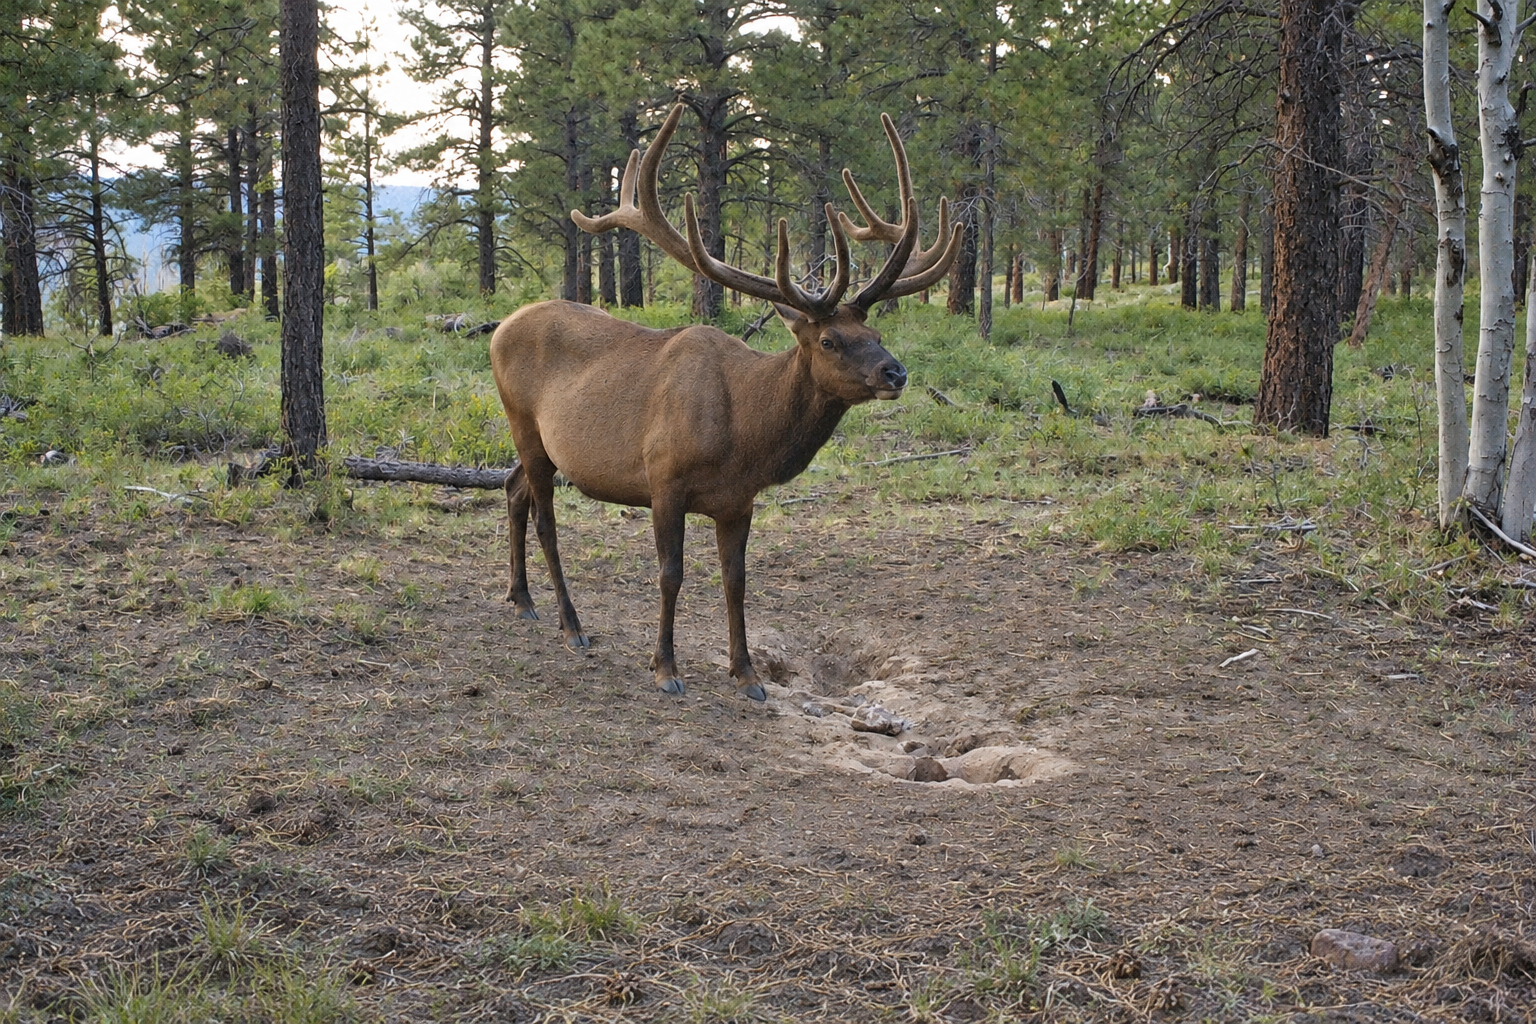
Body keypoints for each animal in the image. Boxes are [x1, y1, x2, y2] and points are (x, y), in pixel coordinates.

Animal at [489, 104, 961, 702]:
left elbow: (736, 580)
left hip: (539, 443)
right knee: (545, 519)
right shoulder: (663, 479)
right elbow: (671, 574)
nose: (895, 372)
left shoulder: (739, 501)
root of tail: (497, 328)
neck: (745, 438)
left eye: (873, 331)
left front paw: (747, 673)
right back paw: (571, 625)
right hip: (523, 422)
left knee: (512, 488)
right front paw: (666, 667)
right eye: (830, 341)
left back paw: (520, 597)